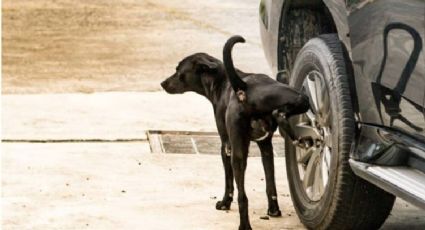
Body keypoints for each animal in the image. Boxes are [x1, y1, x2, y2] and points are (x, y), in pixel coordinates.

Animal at [161, 35, 306, 229]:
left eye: (178, 70)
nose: (162, 83)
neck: (221, 81)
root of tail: (244, 87)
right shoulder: (265, 146)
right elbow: (270, 183)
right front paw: (273, 210)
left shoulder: (226, 146)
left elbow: (229, 182)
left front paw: (224, 203)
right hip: (296, 98)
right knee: (287, 110)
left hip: (237, 153)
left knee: (242, 196)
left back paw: (244, 225)